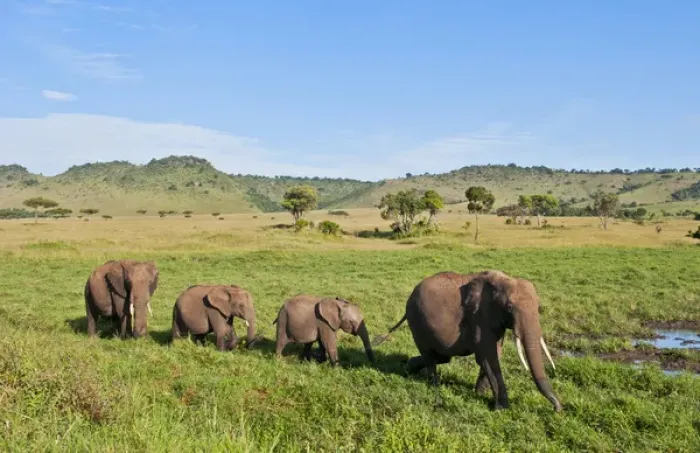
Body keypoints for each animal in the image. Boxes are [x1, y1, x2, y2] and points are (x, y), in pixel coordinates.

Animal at [373, 270, 561, 412]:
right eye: (509, 308)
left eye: (538, 307)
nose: (558, 409)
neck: (503, 280)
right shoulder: (477, 317)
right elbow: (487, 356)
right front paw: (501, 408)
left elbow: (494, 354)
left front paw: (479, 394)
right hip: (417, 321)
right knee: (430, 356)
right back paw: (433, 385)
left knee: (442, 356)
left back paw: (408, 368)